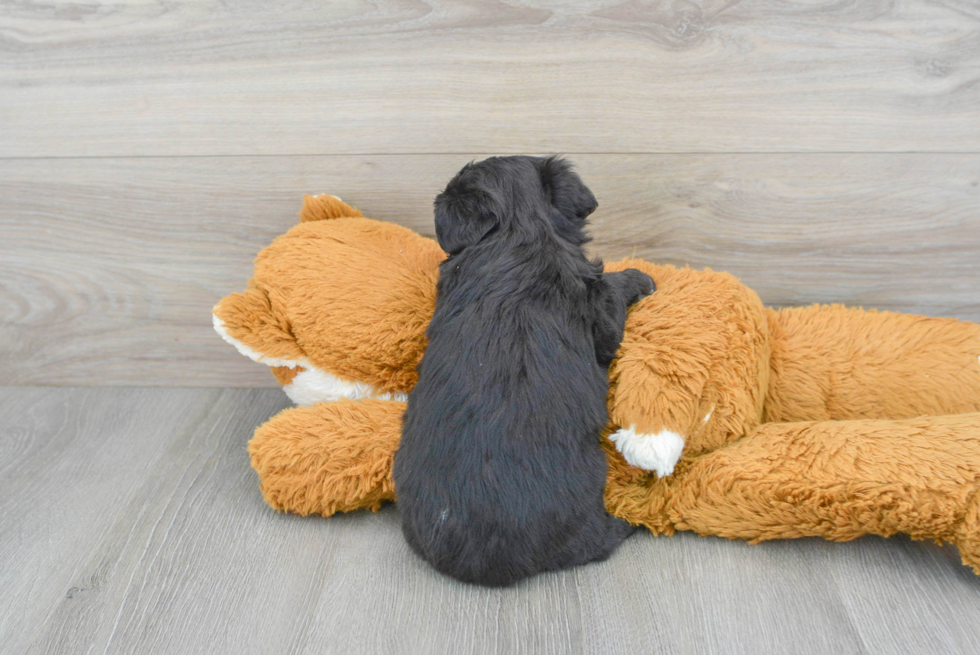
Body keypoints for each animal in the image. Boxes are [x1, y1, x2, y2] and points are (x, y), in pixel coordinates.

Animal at [394, 156, 656, 588]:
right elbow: (613, 290)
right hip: (587, 512)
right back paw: (635, 518)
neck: (517, 231)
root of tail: (481, 564)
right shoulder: (599, 310)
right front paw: (640, 277)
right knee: (601, 542)